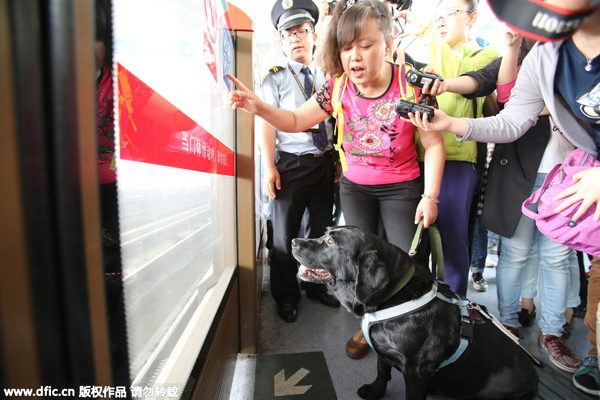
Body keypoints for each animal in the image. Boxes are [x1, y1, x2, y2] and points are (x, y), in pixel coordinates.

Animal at [290, 227, 540, 400]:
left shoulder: (417, 372)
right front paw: (375, 391)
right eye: (325, 234)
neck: (394, 297)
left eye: (331, 242)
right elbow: (382, 371)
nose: (293, 241)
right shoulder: (384, 352)